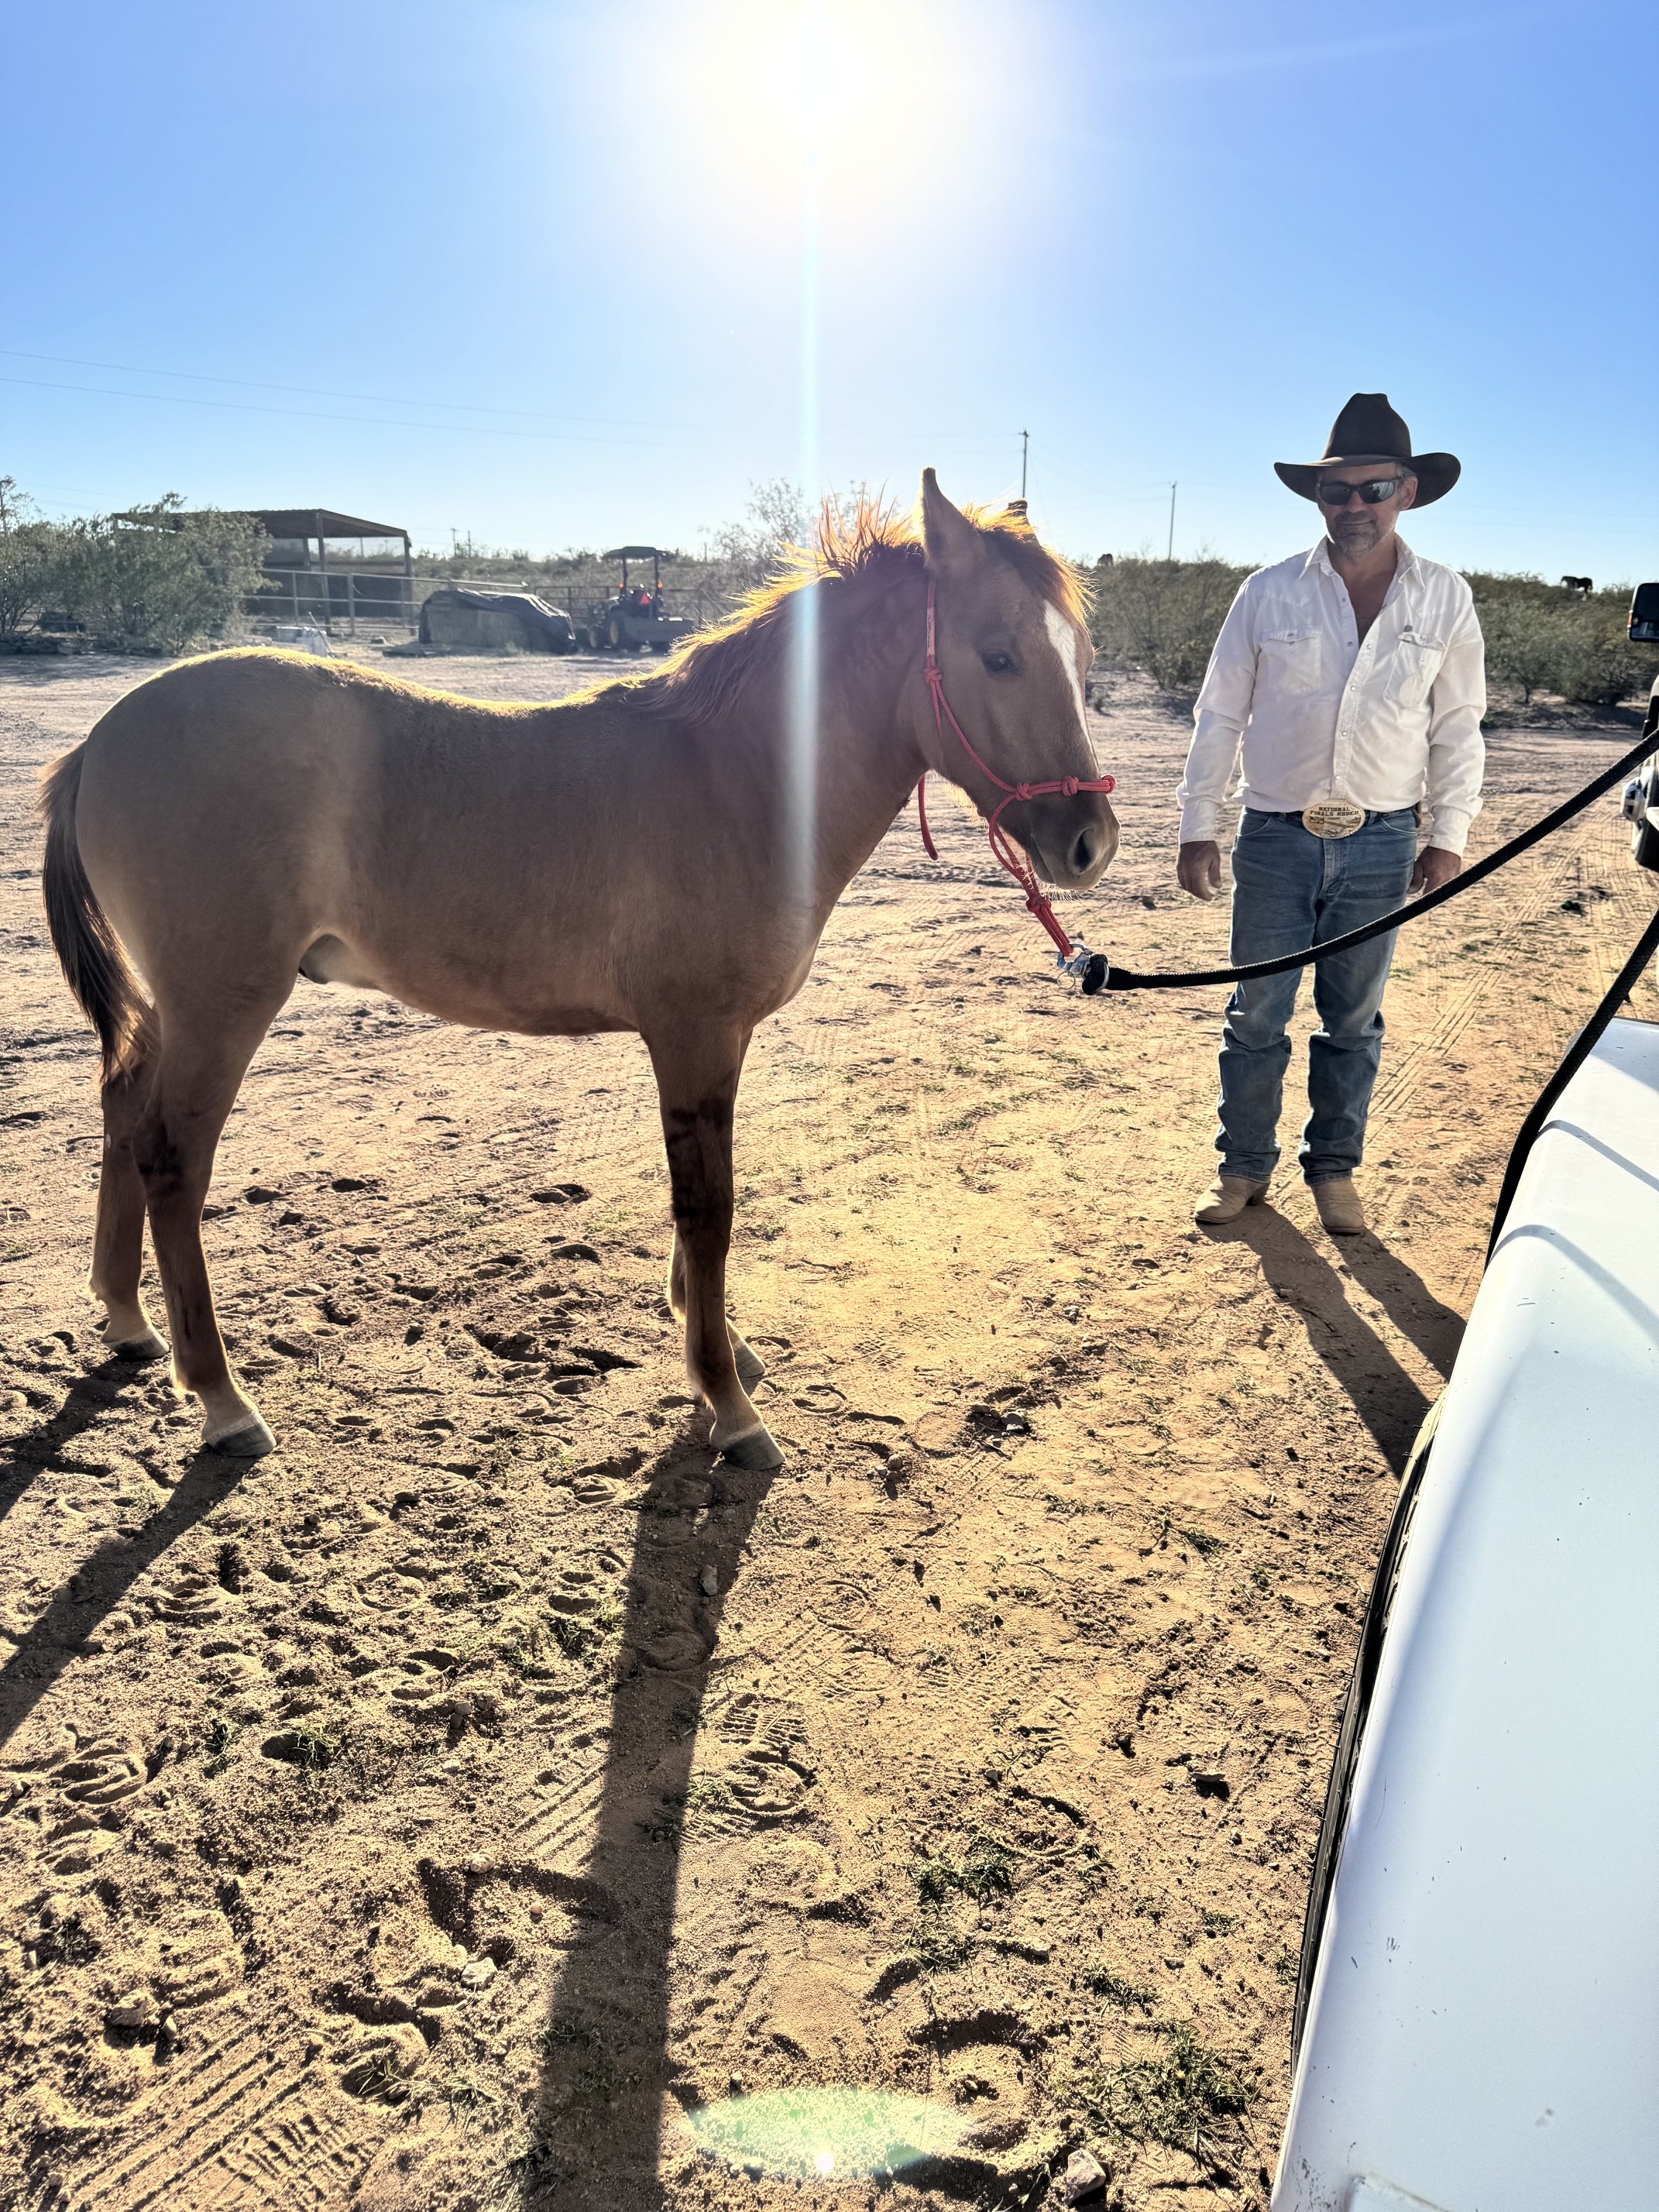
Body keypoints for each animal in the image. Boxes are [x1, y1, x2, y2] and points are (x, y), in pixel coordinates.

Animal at [38, 472, 1118, 1469]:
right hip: (222, 1005)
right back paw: (223, 1400)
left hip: (172, 1010)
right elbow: (707, 1209)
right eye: (998, 654)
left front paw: (721, 1347)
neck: (737, 779)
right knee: (172, 1163)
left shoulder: (717, 1040)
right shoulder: (692, 1033)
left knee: (123, 1113)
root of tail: (101, 738)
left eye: (1082, 658)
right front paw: (728, 1404)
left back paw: (128, 1322)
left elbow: (701, 1208)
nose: (1090, 843)